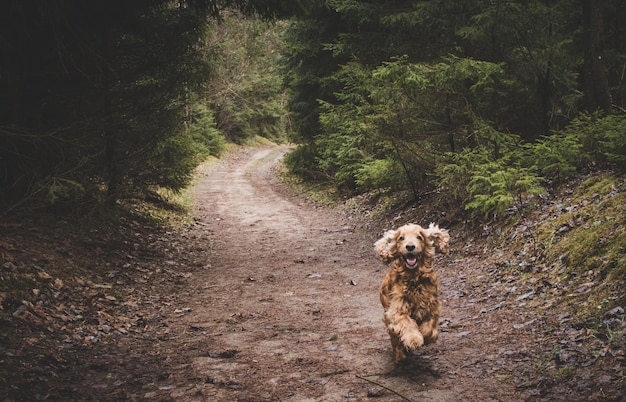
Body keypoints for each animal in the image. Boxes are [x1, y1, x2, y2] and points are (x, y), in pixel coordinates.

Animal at [372, 223, 446, 362]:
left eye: (419, 237)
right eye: (401, 238)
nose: (410, 247)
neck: (413, 276)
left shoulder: (432, 306)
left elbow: (430, 327)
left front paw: (426, 337)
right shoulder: (397, 309)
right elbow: (406, 323)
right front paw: (414, 339)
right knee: (394, 337)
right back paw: (400, 355)